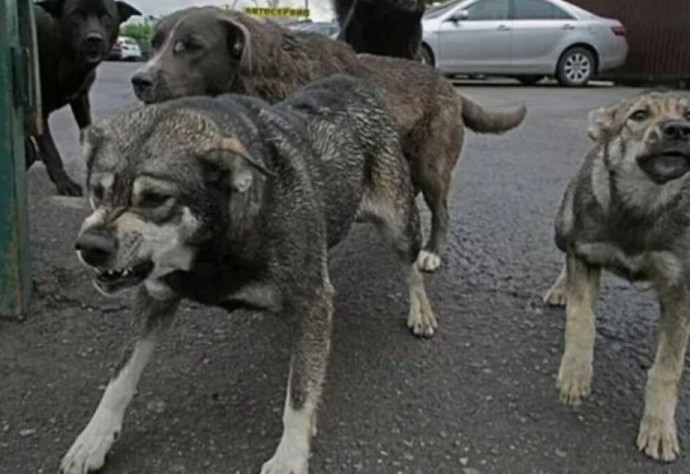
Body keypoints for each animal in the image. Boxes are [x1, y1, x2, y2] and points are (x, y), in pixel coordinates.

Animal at [30, 0, 140, 196]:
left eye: (106, 17)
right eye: (76, 15)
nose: (94, 39)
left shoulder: (81, 99)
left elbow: (88, 131)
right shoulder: (38, 111)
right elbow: (51, 150)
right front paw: (64, 182)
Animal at [130, 6, 528, 274]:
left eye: (191, 46)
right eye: (155, 44)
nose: (139, 80)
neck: (263, 76)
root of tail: (449, 86)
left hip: (433, 164)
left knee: (441, 210)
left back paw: (431, 252)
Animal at [544, 90, 688, 462]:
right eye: (639, 115)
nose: (679, 129)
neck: (641, 204)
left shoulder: (680, 287)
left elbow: (667, 367)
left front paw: (658, 428)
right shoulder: (584, 254)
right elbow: (582, 320)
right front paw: (575, 374)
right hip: (563, 228)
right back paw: (561, 288)